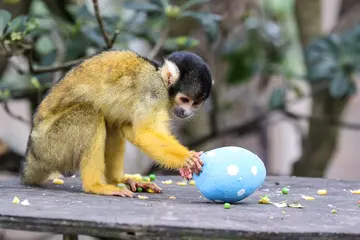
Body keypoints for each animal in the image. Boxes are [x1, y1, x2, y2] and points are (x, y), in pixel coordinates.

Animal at [21, 49, 212, 197]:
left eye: (195, 103)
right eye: (185, 99)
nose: (186, 113)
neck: (162, 80)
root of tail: (31, 158)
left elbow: (130, 129)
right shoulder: (153, 91)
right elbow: (143, 132)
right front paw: (186, 159)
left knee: (112, 123)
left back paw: (118, 180)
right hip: (51, 146)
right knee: (91, 114)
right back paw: (95, 185)